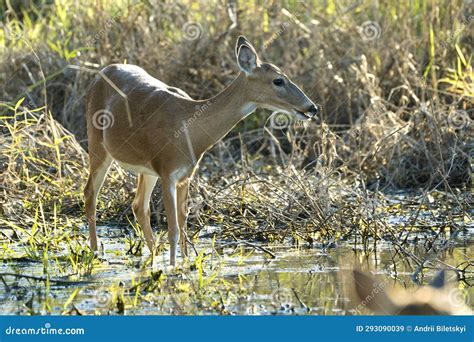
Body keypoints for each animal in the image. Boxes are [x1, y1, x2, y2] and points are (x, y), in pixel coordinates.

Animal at [86, 35, 318, 264]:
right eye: (278, 80)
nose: (312, 107)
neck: (189, 127)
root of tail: (100, 74)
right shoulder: (168, 172)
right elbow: (173, 230)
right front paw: (173, 268)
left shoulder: (185, 174)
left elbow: (182, 224)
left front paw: (185, 263)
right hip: (97, 143)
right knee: (91, 194)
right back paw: (96, 253)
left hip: (146, 169)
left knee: (139, 205)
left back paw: (152, 258)